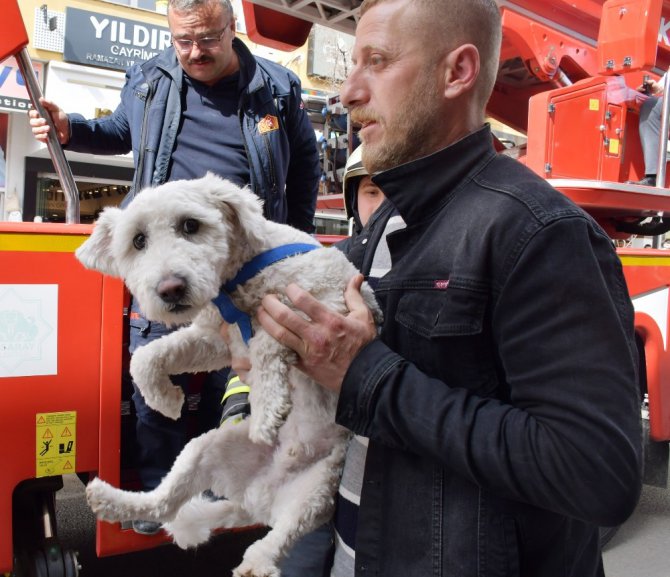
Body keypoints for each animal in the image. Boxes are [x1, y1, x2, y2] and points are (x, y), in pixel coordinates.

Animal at [75, 172, 384, 576]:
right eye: (138, 241)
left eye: (191, 225)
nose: (170, 289)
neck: (235, 285)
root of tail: (256, 500)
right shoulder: (216, 341)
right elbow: (146, 356)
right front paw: (166, 399)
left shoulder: (330, 304)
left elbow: (268, 338)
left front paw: (268, 408)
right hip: (204, 449)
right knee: (164, 502)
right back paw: (112, 500)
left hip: (317, 490)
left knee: (279, 537)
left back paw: (256, 563)